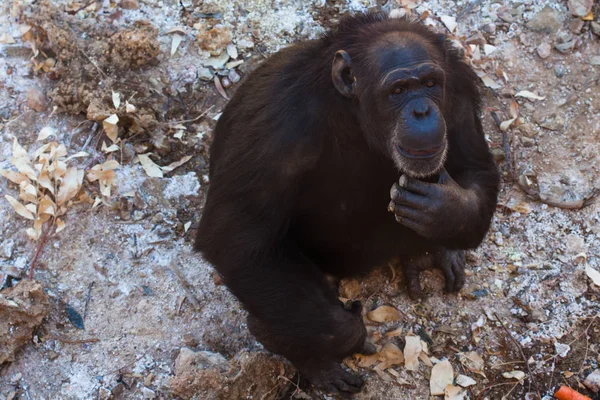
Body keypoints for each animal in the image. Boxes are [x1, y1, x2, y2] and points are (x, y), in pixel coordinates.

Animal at [195, 12, 500, 396]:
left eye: (430, 83)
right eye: (398, 90)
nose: (421, 110)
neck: (353, 113)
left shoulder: (457, 89)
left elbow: (476, 168)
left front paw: (447, 210)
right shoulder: (275, 128)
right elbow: (240, 240)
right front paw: (346, 335)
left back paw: (429, 252)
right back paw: (307, 356)